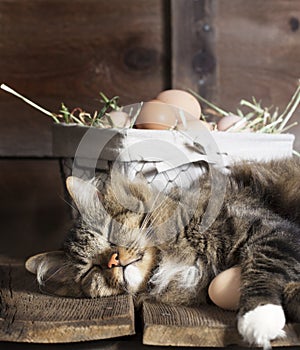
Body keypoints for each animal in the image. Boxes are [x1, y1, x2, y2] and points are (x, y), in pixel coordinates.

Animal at [26, 159, 300, 350]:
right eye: (92, 269)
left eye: (110, 234)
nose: (114, 260)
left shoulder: (272, 230)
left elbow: (263, 267)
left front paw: (260, 318)